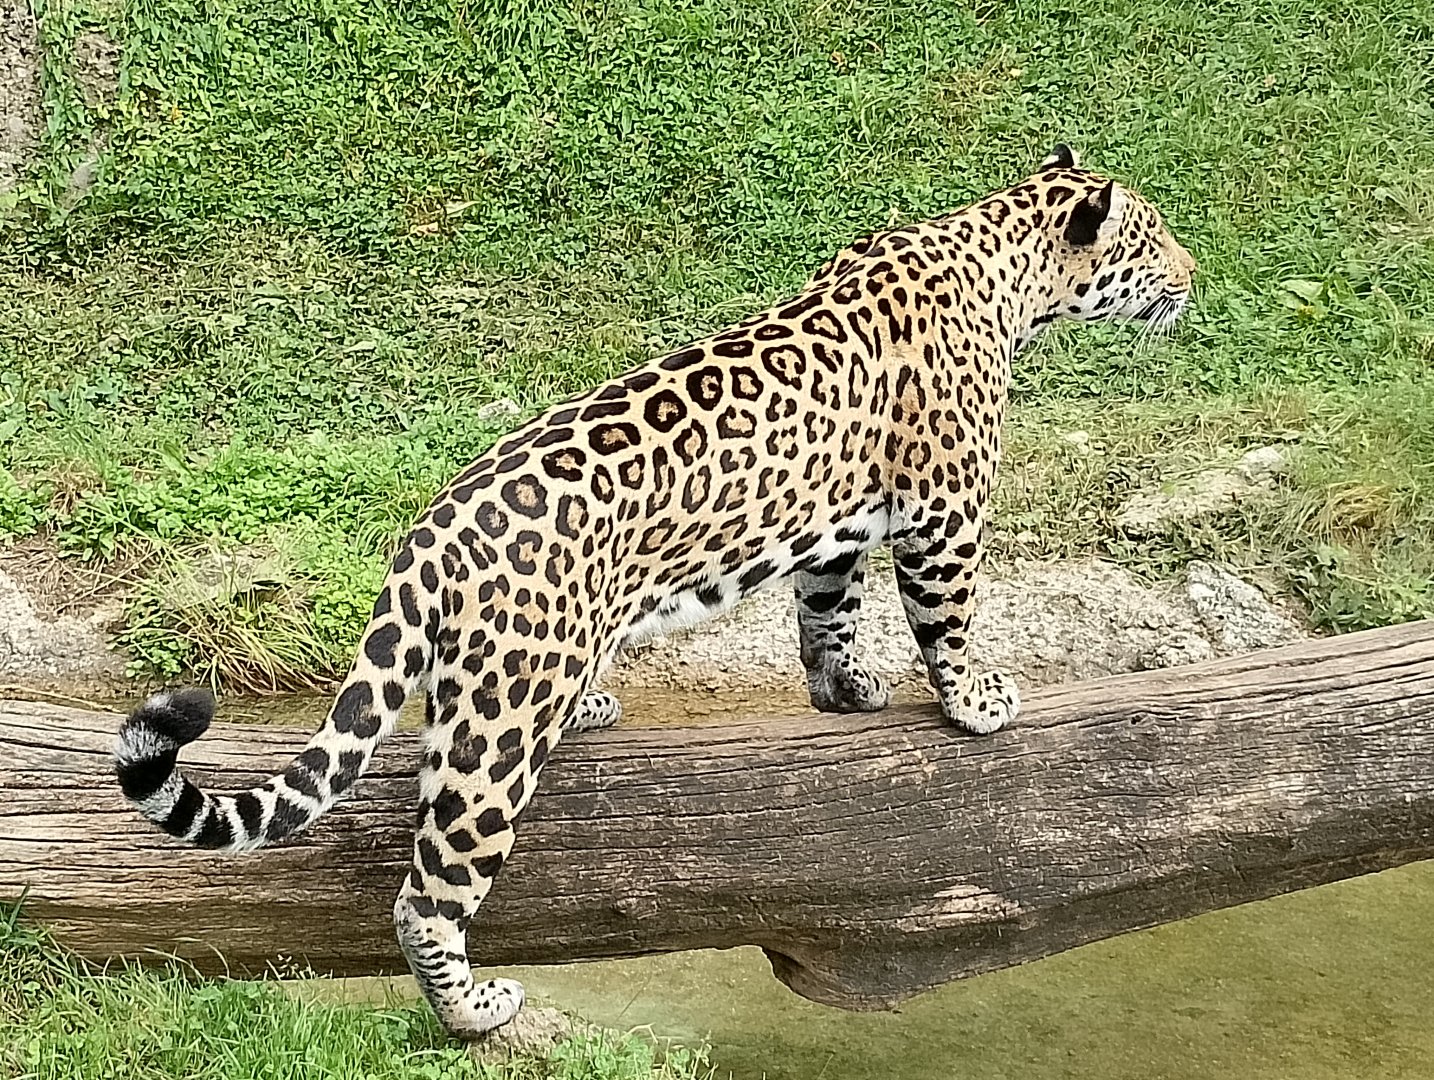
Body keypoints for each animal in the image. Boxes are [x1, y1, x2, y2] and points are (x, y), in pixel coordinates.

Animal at [114, 144, 1195, 1040]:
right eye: (1152, 238)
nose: (1196, 277)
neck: (998, 260)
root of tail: (431, 532)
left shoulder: (839, 519)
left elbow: (829, 608)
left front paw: (846, 690)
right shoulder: (945, 510)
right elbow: (951, 612)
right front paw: (973, 701)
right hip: (501, 735)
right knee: (428, 894)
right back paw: (470, 1009)